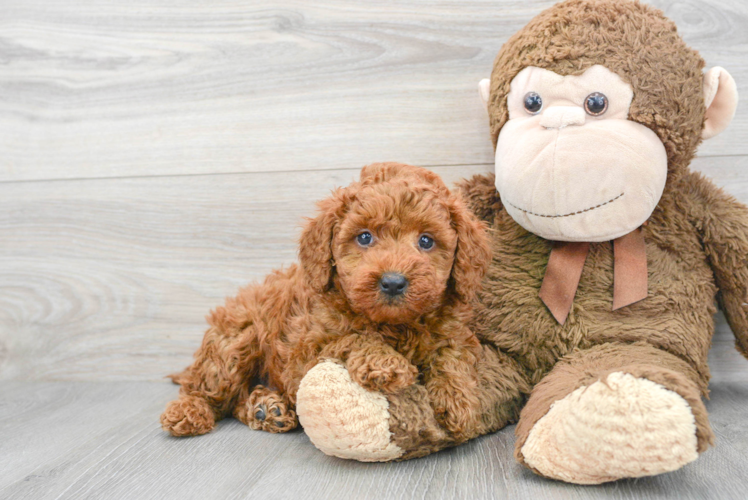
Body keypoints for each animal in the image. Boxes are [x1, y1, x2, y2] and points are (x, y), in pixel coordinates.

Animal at [159, 162, 490, 440]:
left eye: (426, 241)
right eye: (365, 237)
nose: (393, 282)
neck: (394, 325)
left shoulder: (452, 332)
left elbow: (452, 356)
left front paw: (459, 401)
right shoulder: (305, 352)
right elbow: (350, 338)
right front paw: (384, 362)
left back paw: (267, 408)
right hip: (235, 341)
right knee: (207, 390)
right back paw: (189, 412)